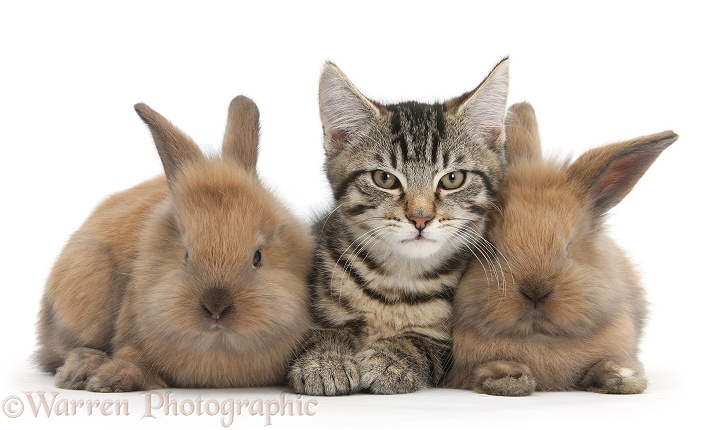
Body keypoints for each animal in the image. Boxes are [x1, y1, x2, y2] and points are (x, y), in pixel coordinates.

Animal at [34, 95, 312, 392]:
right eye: (186, 255)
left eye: (258, 257)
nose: (216, 307)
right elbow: (134, 356)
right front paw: (110, 377)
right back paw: (80, 368)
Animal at [286, 58, 508, 394]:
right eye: (385, 179)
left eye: (452, 179)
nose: (420, 218)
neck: (397, 280)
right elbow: (322, 331)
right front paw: (325, 360)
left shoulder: (451, 343)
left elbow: (422, 343)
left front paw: (393, 358)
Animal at [444, 101, 680, 396]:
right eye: (492, 246)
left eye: (570, 246)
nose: (536, 292)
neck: (540, 338)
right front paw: (508, 378)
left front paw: (621, 376)